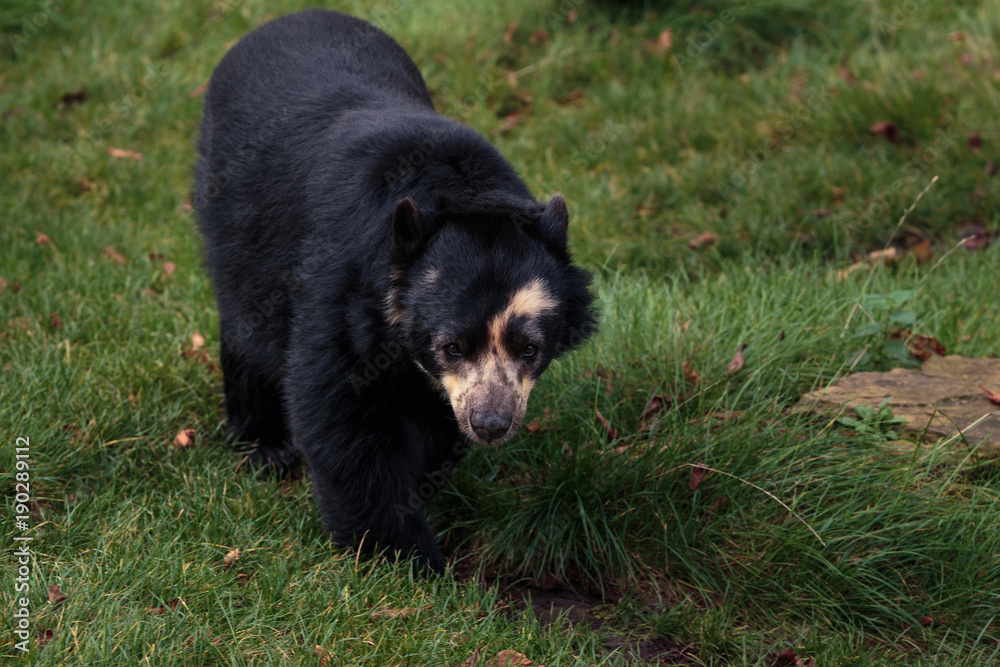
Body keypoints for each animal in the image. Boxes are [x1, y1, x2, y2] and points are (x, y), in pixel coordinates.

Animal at [199, 9, 596, 576]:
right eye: (451, 346)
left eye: (529, 348)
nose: (491, 423)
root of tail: (283, 18)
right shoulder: (343, 288)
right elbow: (341, 416)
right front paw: (403, 558)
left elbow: (430, 421)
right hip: (233, 214)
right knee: (246, 322)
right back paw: (263, 446)